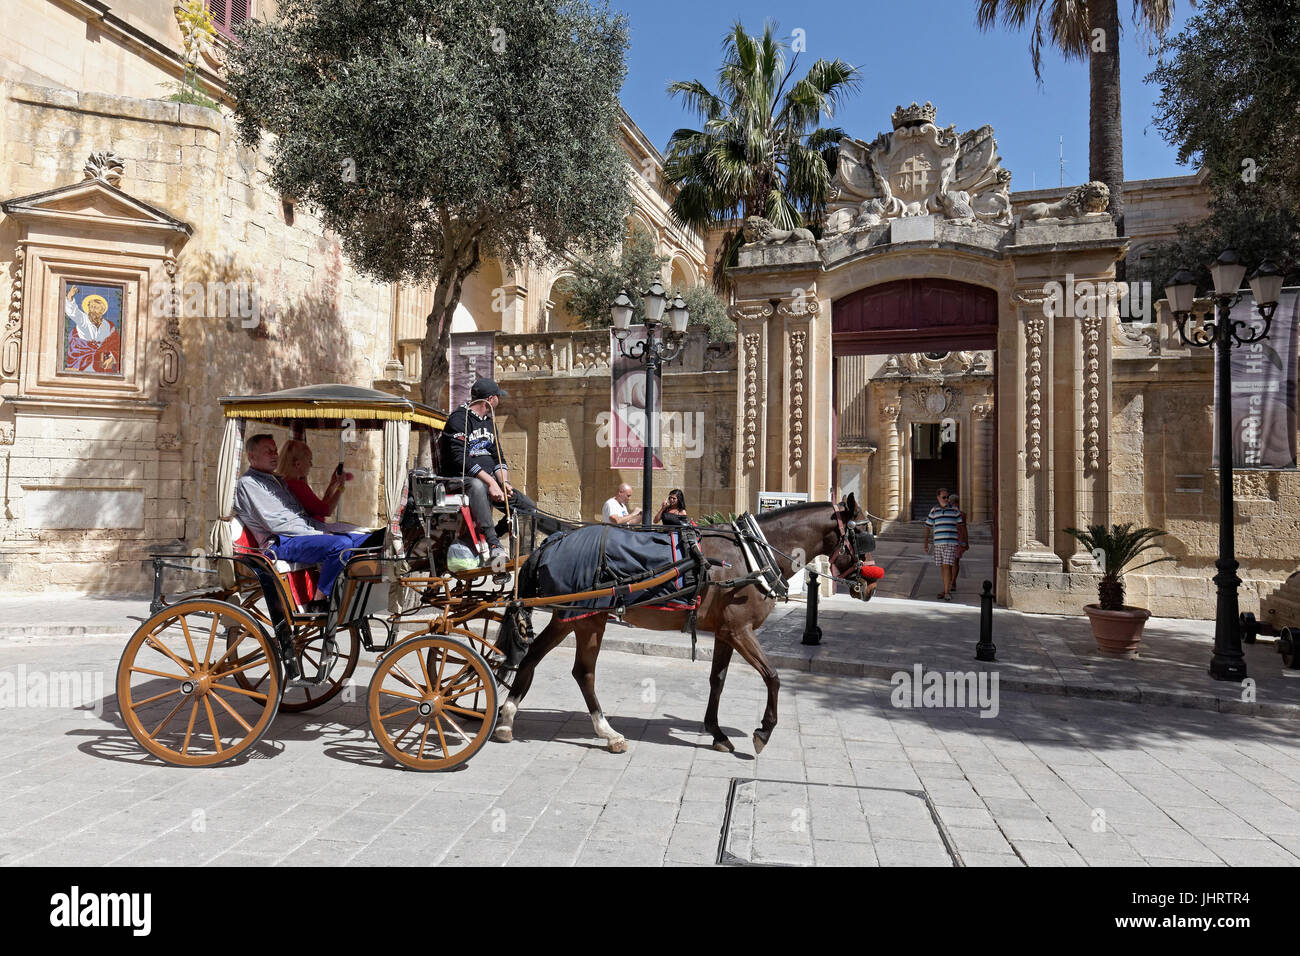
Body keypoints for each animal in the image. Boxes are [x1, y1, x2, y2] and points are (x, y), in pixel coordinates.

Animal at [491, 494, 878, 754]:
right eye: (863, 535)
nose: (872, 584)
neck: (754, 553)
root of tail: (550, 543)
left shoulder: (726, 632)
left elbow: (717, 680)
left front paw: (716, 732)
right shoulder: (740, 630)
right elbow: (773, 676)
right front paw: (763, 731)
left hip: (574, 617)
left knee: (539, 660)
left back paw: (510, 718)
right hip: (582, 618)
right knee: (579, 671)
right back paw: (603, 731)